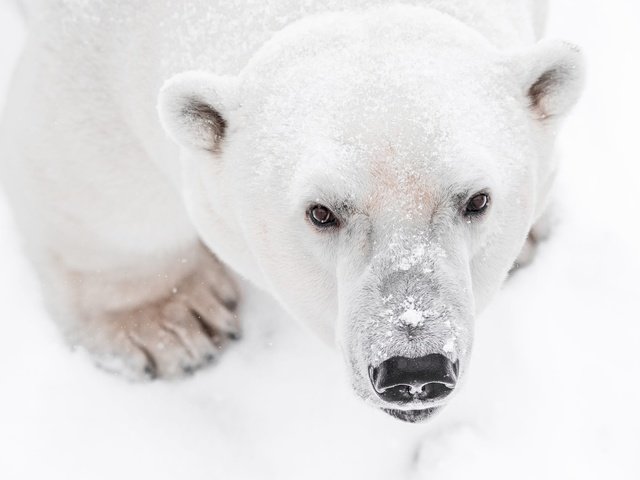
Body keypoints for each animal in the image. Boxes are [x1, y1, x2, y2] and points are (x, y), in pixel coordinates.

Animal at [0, 0, 584, 420]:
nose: (414, 369)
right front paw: (171, 326)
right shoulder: (88, 49)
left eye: (477, 200)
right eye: (321, 212)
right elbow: (94, 179)